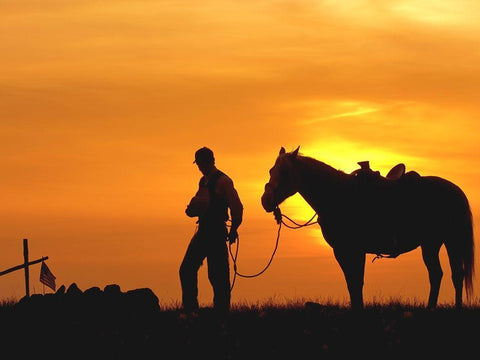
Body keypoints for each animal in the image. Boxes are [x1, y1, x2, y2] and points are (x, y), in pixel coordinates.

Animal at [260, 146, 474, 310]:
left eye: (284, 172)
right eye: (270, 170)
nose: (265, 201)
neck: (337, 195)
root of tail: (456, 191)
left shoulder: (353, 250)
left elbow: (356, 282)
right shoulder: (343, 251)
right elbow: (352, 283)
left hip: (450, 241)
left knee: (454, 275)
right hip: (432, 244)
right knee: (439, 274)